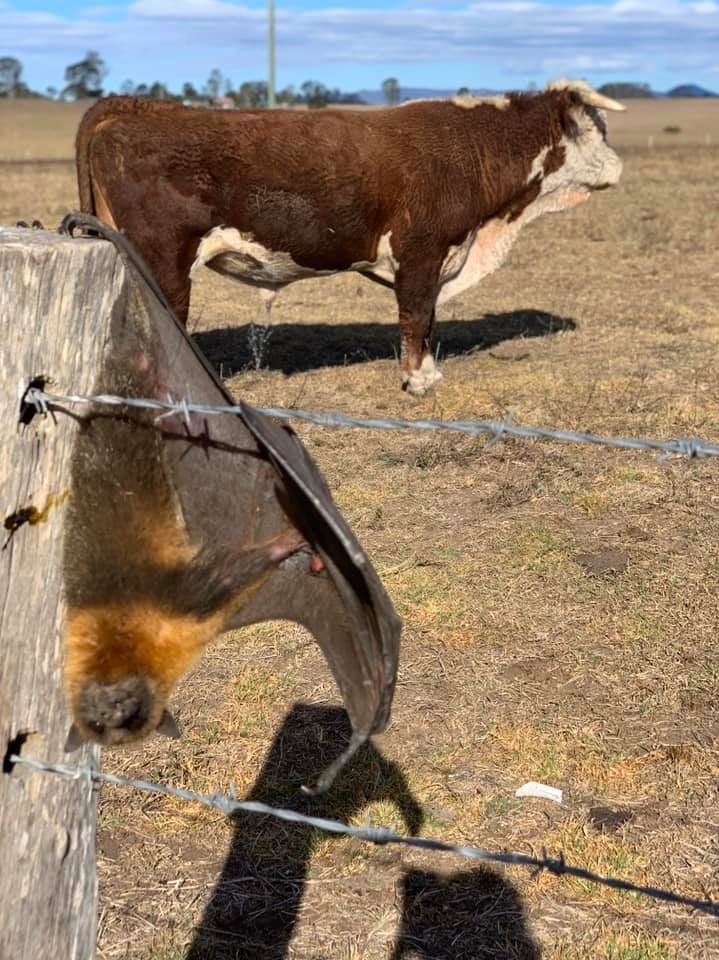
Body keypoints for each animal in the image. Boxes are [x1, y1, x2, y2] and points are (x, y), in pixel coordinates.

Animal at [74, 81, 624, 394]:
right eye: (595, 128)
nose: (620, 166)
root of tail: (143, 109)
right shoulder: (421, 252)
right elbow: (416, 315)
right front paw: (418, 381)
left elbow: (429, 319)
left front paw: (428, 372)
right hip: (163, 259)